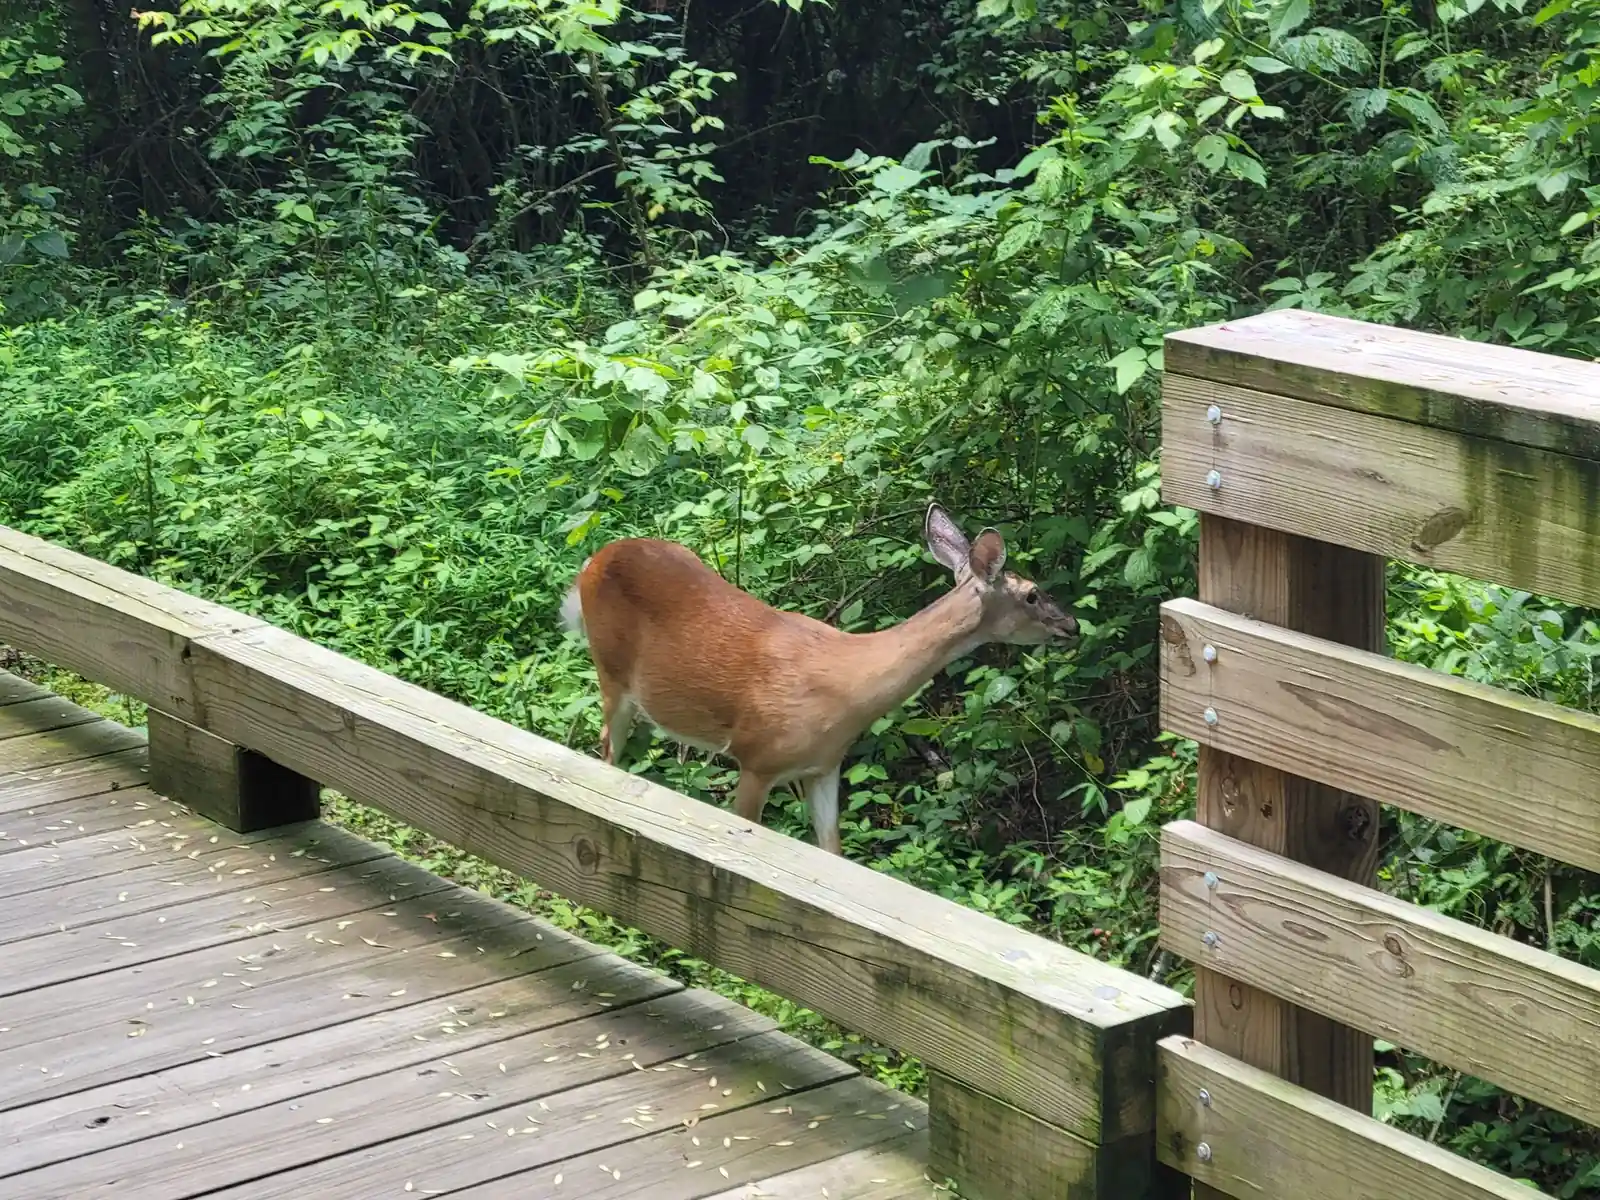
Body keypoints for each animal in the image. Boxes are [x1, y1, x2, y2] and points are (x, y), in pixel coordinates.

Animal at [559, 503, 1078, 855]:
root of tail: (591, 563)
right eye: (1033, 594)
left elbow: (832, 852)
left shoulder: (824, 768)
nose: (1071, 626)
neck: (847, 688)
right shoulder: (757, 757)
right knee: (605, 751)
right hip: (611, 673)